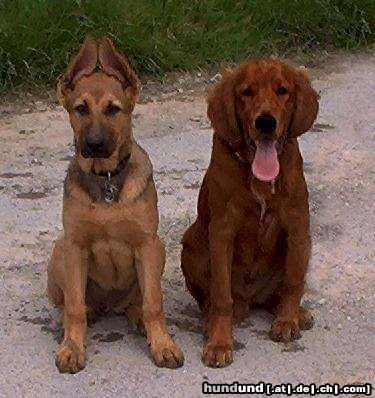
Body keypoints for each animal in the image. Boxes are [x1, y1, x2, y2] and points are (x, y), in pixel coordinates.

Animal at [47, 36, 186, 374]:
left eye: (113, 110)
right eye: (80, 109)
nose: (94, 145)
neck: (107, 179)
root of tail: (110, 305)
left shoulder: (146, 244)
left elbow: (153, 304)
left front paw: (162, 344)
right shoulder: (75, 245)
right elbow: (74, 306)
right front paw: (72, 347)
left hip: (159, 250)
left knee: (139, 302)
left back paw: (137, 318)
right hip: (60, 250)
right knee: (72, 303)